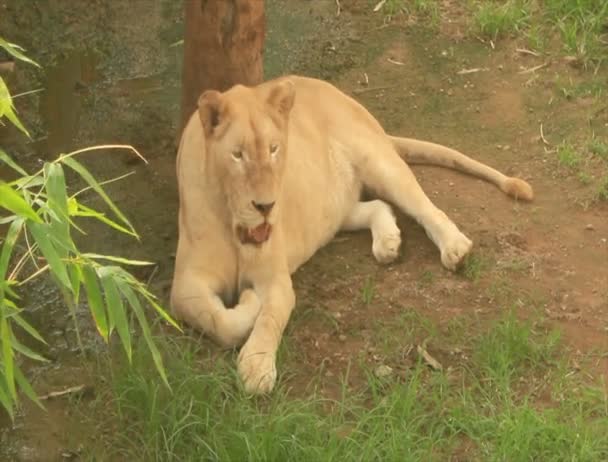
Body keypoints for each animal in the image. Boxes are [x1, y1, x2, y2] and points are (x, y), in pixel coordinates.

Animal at [170, 76, 532, 394]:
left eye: (273, 149)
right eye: (237, 154)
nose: (266, 206)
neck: (234, 224)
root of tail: (337, 92)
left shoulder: (277, 280)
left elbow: (270, 318)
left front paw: (256, 367)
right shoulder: (186, 282)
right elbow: (218, 321)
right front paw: (247, 307)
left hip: (379, 162)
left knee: (426, 208)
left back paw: (455, 248)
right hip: (335, 208)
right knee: (379, 205)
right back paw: (388, 243)